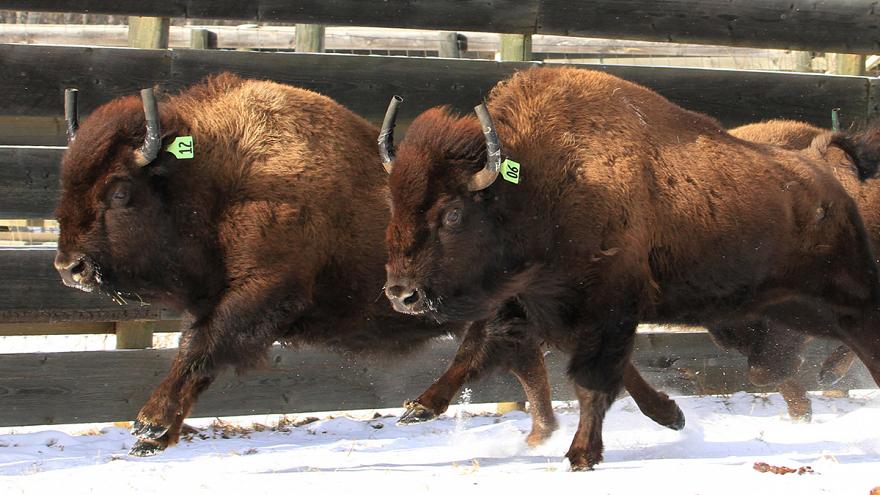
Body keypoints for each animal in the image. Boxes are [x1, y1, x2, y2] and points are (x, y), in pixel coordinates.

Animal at [49, 72, 680, 458]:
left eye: (120, 191)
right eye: (67, 179)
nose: (67, 267)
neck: (222, 175)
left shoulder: (262, 292)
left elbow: (199, 348)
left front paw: (148, 425)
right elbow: (197, 352)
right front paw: (155, 436)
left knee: (526, 352)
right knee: (532, 356)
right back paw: (558, 429)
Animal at [382, 67, 880, 472]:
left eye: (452, 214)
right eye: (393, 204)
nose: (401, 293)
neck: (538, 181)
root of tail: (821, 169)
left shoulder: (606, 308)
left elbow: (592, 379)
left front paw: (582, 455)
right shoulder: (535, 306)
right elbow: (476, 352)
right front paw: (418, 407)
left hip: (833, 299)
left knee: (853, 339)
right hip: (779, 311)